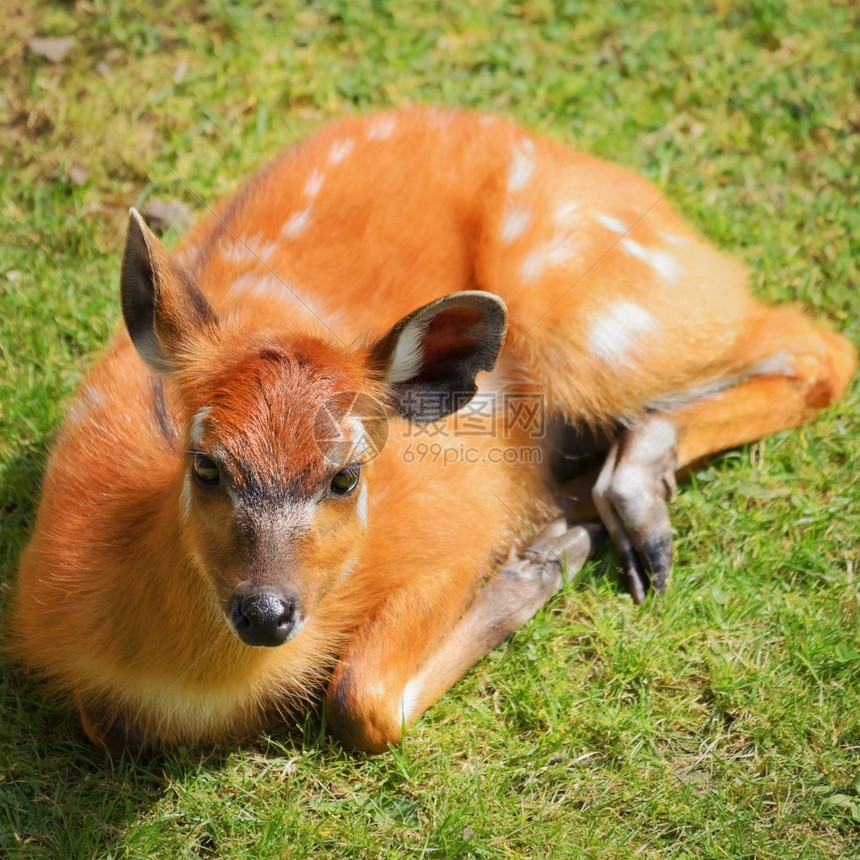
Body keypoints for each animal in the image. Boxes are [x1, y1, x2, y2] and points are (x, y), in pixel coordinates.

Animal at [10, 106, 856, 752]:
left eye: (346, 475)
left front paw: (541, 562)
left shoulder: (455, 521)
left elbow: (362, 701)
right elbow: (102, 725)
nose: (267, 610)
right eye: (207, 464)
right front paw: (556, 546)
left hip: (597, 312)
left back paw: (623, 506)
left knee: (815, 345)